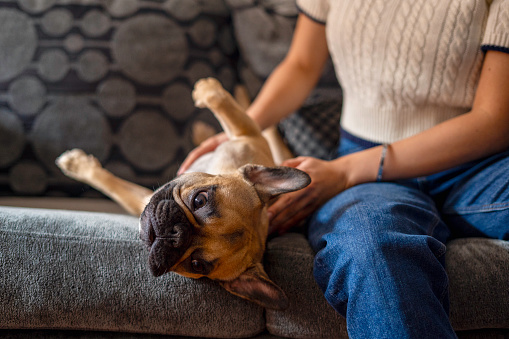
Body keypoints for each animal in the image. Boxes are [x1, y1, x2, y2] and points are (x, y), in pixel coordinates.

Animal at [55, 77, 310, 310]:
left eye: (196, 265)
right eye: (200, 200)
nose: (174, 234)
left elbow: (112, 185)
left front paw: (76, 166)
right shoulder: (246, 136)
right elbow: (222, 102)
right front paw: (208, 89)